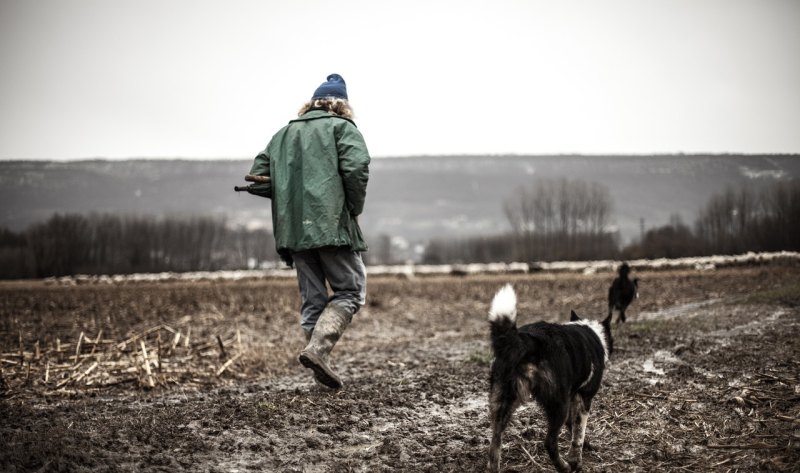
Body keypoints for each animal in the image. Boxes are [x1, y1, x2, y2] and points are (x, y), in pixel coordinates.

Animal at [488, 284, 612, 472]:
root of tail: (525, 341)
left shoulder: (573, 397)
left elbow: (572, 427)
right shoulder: (584, 397)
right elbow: (578, 434)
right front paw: (576, 461)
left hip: (503, 402)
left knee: (495, 441)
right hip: (558, 405)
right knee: (549, 442)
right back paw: (564, 467)